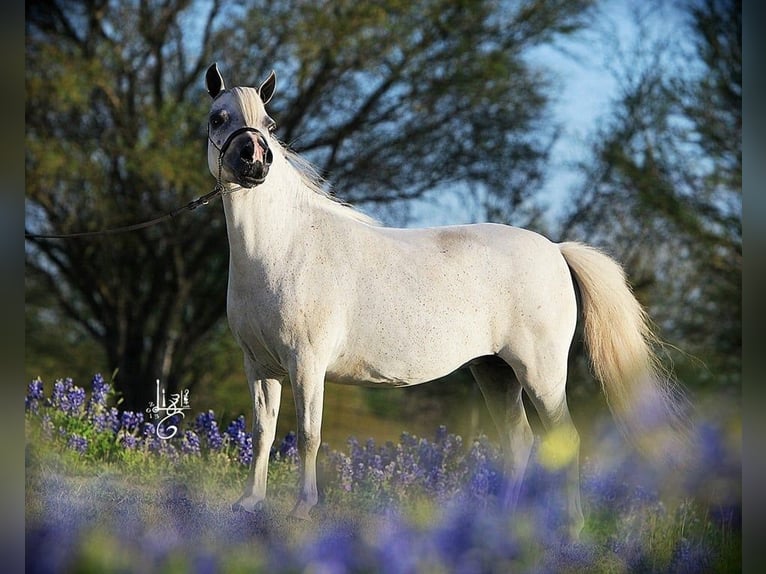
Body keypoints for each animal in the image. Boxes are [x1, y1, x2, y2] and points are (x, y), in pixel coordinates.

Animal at [204, 65, 688, 544]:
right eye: (218, 118)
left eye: (270, 125)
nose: (255, 161)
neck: (284, 247)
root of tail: (556, 249)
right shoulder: (260, 366)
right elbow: (263, 432)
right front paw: (250, 502)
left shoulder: (307, 365)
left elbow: (308, 435)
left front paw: (302, 509)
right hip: (495, 373)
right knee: (519, 441)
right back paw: (503, 525)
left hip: (541, 374)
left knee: (562, 440)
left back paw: (571, 530)